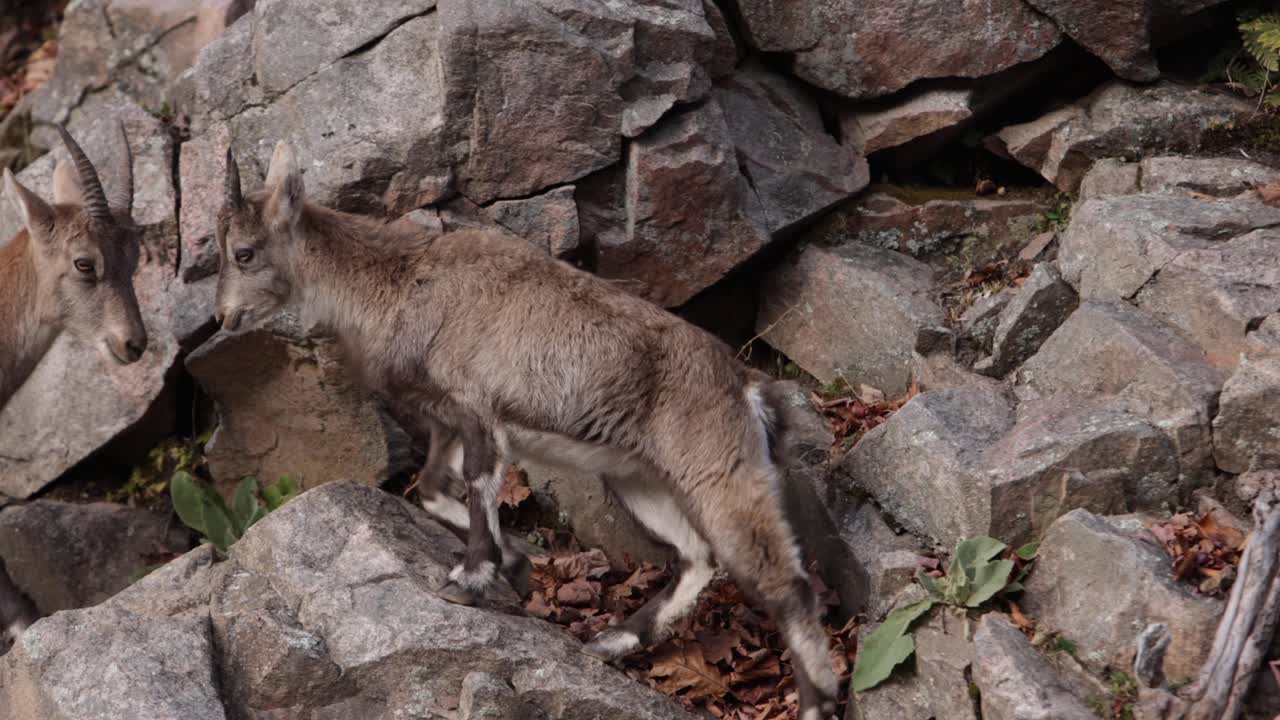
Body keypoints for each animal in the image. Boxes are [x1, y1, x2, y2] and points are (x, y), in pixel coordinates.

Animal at [214, 142, 840, 720]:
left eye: (243, 252)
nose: (224, 317)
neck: (397, 281)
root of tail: (746, 388)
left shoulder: (476, 409)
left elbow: (476, 483)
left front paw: (469, 579)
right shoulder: (446, 420)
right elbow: (433, 489)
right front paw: (513, 566)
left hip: (717, 472)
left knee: (785, 584)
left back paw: (815, 702)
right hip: (639, 478)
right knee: (698, 557)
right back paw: (611, 642)